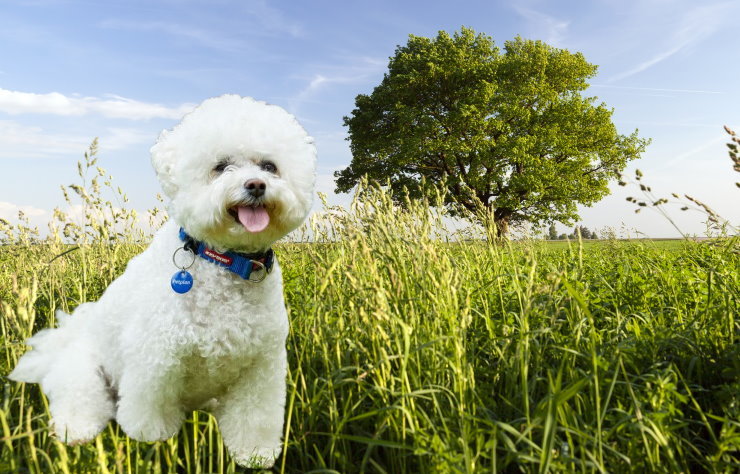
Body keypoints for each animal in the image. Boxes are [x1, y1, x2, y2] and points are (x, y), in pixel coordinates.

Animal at [9, 94, 316, 468]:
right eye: (221, 166)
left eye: (269, 166)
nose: (256, 185)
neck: (225, 262)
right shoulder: (155, 356)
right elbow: (149, 407)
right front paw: (149, 436)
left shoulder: (261, 369)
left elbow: (254, 418)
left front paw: (255, 454)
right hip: (84, 374)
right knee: (79, 400)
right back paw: (77, 430)